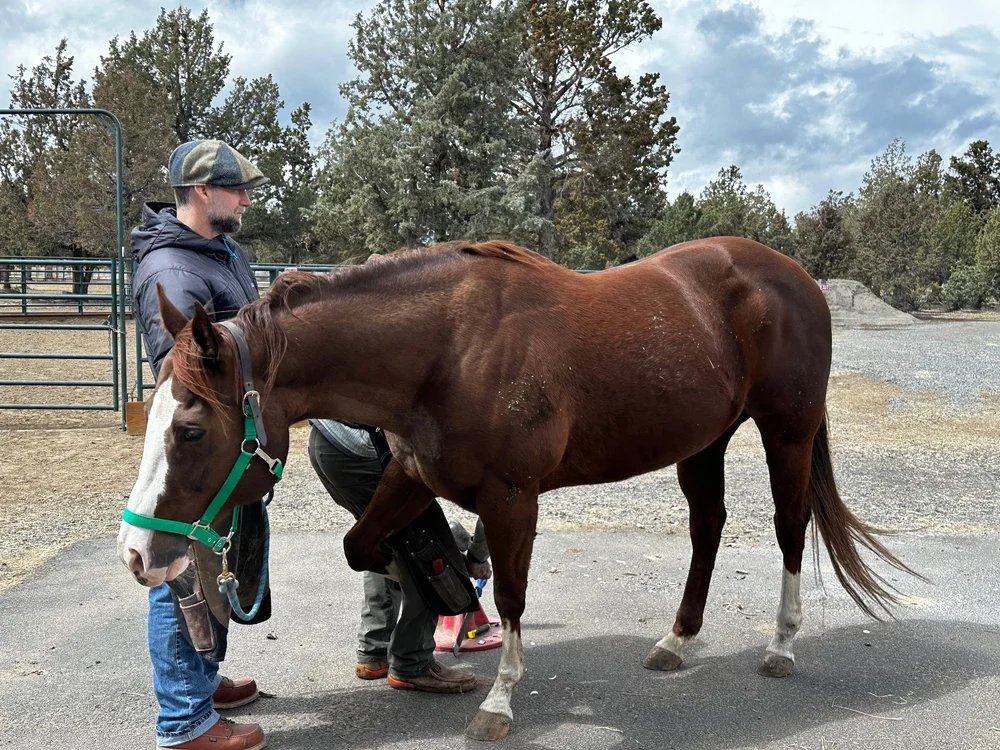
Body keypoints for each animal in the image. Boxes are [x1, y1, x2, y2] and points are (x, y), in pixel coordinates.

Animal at [117, 237, 918, 741]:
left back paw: (781, 646)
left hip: (788, 430)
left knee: (788, 525)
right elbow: (363, 547)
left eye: (190, 431)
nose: (136, 554)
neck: (447, 350)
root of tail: (793, 275)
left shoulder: (512, 497)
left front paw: (497, 700)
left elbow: (509, 594)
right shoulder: (412, 477)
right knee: (708, 527)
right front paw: (420, 605)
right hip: (705, 440)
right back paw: (676, 639)